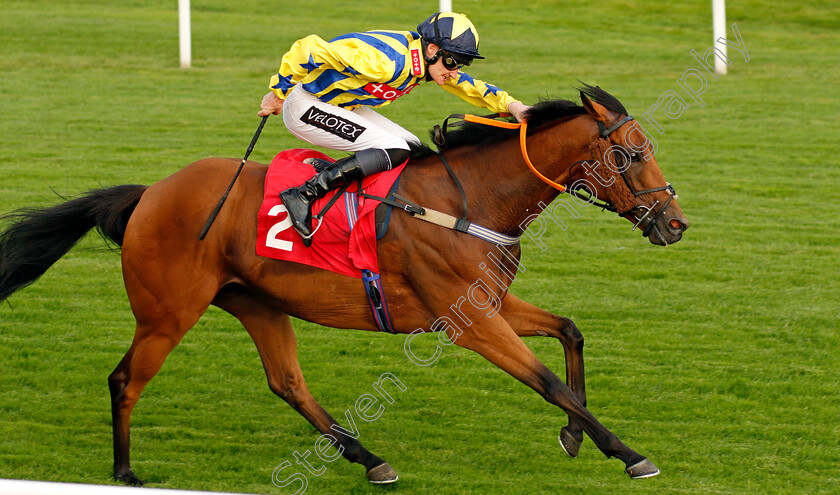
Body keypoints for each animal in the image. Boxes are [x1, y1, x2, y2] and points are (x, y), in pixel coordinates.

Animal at [0, 86, 688, 488]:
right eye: (631, 155)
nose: (675, 223)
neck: (469, 202)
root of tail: (150, 194)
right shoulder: (468, 322)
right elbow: (550, 384)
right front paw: (626, 452)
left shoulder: (489, 303)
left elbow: (570, 331)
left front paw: (575, 437)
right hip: (168, 312)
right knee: (125, 380)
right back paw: (125, 471)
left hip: (257, 303)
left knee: (288, 383)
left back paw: (368, 457)